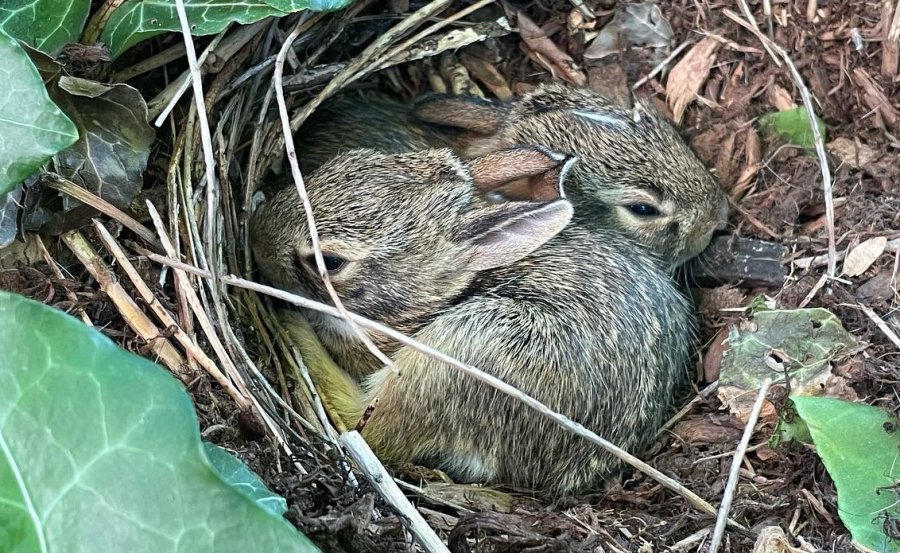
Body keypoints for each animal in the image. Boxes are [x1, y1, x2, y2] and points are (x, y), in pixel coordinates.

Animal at [250, 146, 692, 492]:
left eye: (330, 262)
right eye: (340, 162)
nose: (258, 237)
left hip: (466, 349)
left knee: (368, 429)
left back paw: (295, 332)